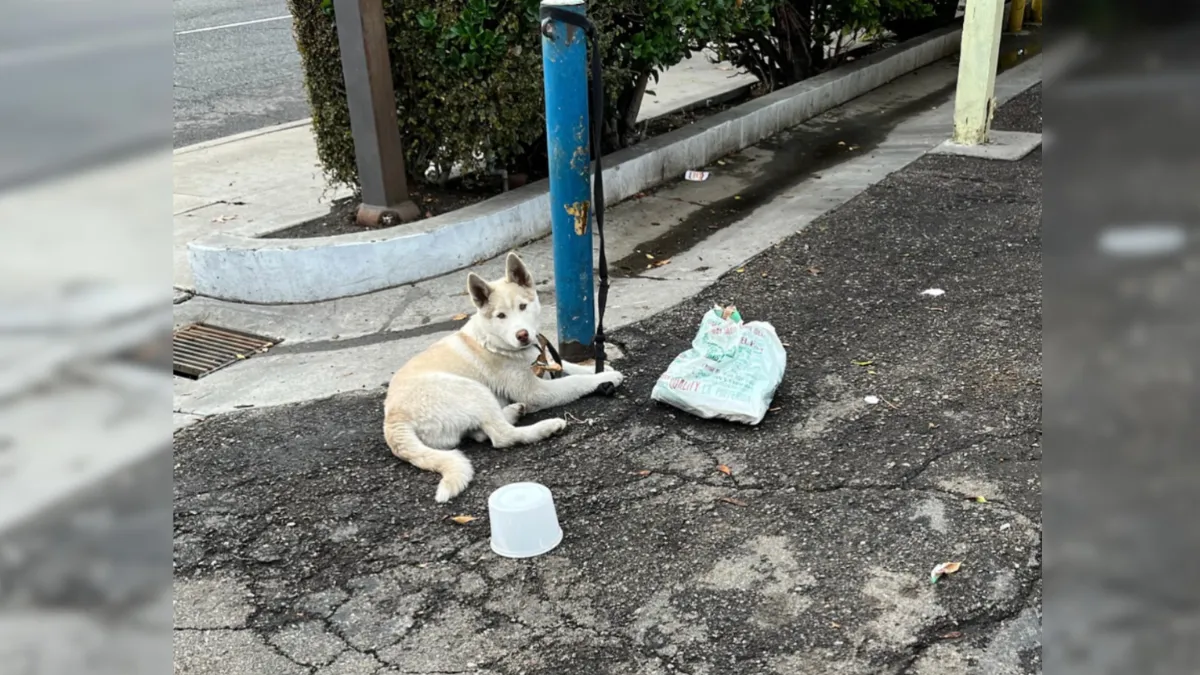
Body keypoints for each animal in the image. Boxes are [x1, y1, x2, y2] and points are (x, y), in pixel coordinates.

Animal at [384, 252, 628, 499]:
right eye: (501, 316)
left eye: (522, 306)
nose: (522, 335)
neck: (494, 341)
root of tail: (393, 420)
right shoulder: (535, 392)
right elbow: (573, 381)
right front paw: (601, 379)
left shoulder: (542, 363)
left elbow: (565, 366)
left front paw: (599, 369)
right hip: (473, 389)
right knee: (502, 436)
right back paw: (545, 427)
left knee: (483, 433)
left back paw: (513, 411)